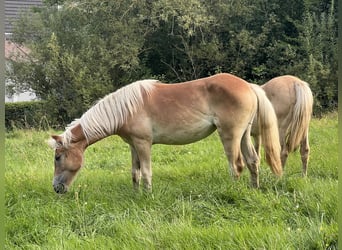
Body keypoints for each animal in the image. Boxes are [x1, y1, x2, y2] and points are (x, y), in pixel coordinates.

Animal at [49, 72, 282, 193]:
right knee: (252, 161)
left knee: (237, 166)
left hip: (230, 136)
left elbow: (146, 172)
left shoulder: (143, 143)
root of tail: (248, 86)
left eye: (58, 157)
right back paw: (254, 189)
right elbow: (135, 172)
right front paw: (136, 194)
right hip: (244, 135)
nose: (57, 188)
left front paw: (147, 196)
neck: (126, 109)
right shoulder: (133, 145)